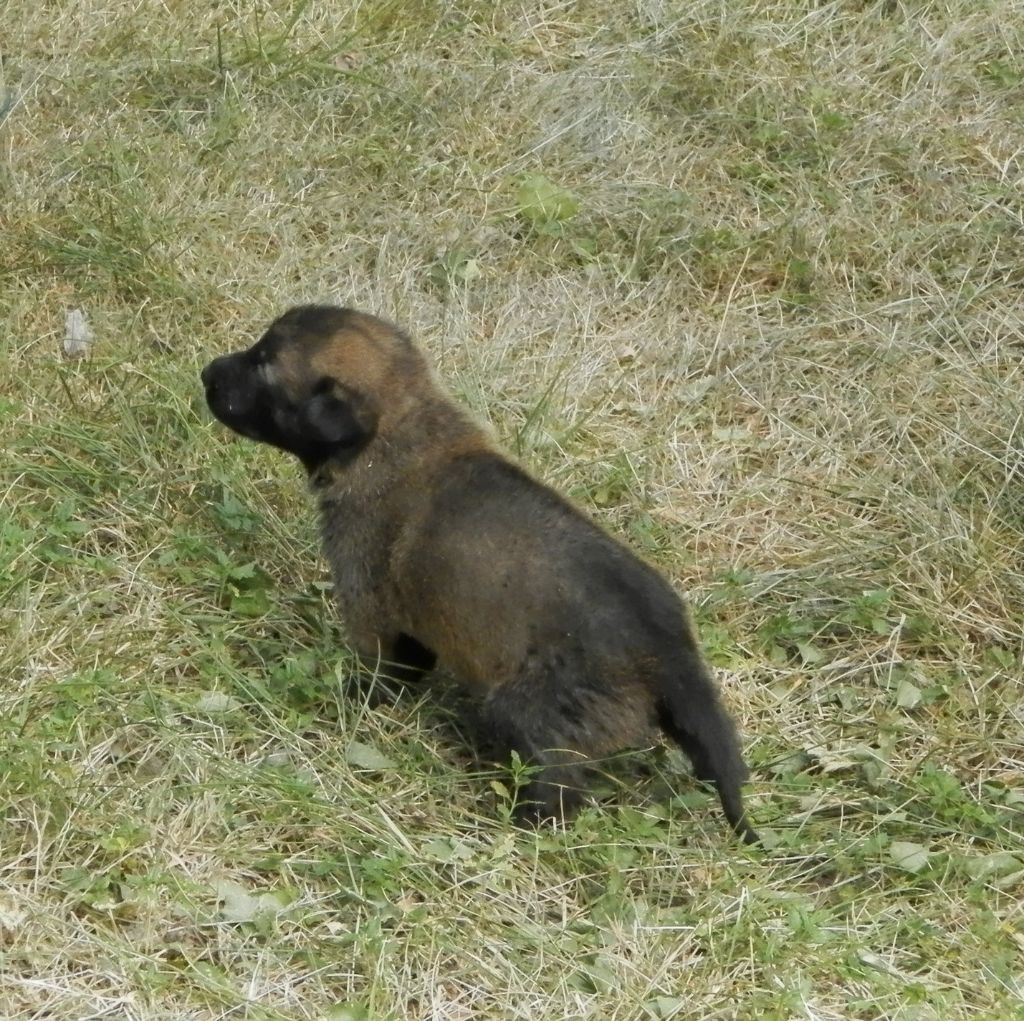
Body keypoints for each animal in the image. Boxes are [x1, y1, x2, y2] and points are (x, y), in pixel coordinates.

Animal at [201, 305, 761, 843]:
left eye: (264, 367)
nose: (206, 371)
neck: (396, 431)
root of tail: (668, 653)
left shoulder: (367, 600)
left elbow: (380, 668)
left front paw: (355, 702)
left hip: (525, 712)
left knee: (559, 783)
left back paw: (524, 823)